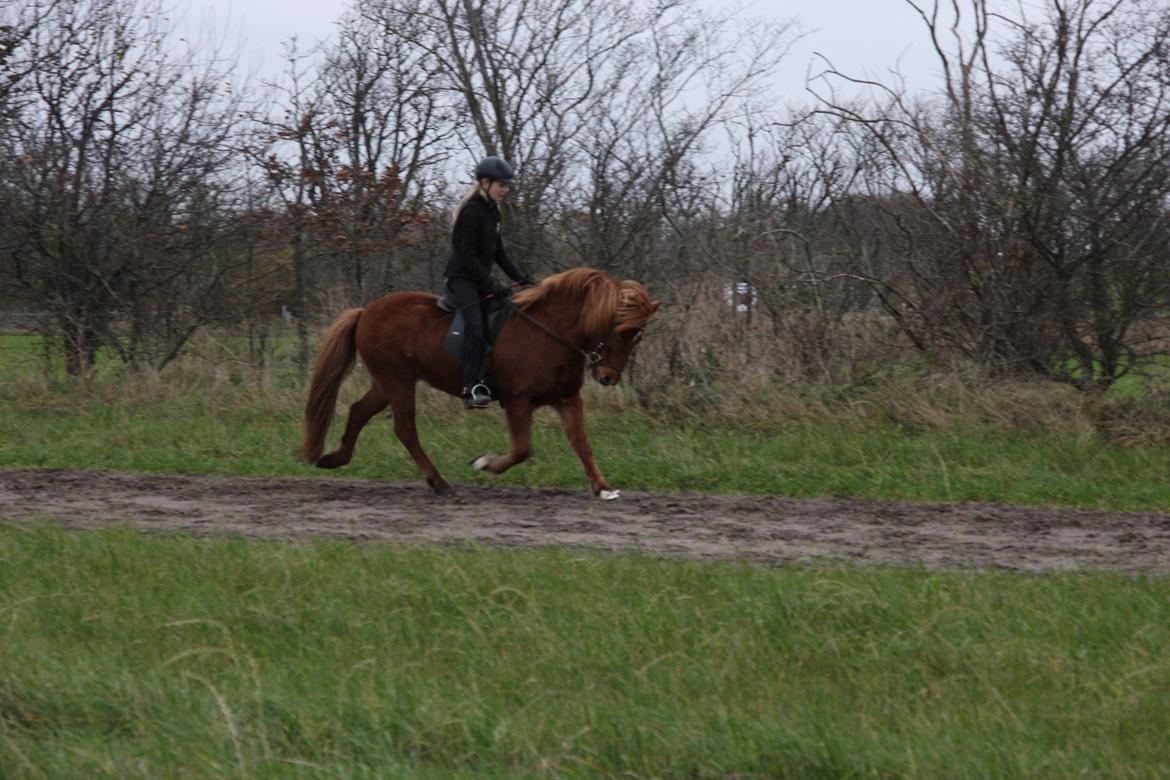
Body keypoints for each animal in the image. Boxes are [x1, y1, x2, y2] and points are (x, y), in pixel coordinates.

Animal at [299, 268, 659, 500]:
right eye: (624, 332)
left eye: (638, 336)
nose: (609, 378)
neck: (549, 332)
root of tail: (365, 312)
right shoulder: (518, 400)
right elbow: (522, 449)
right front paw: (484, 463)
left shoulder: (568, 399)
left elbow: (582, 444)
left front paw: (603, 487)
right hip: (397, 380)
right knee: (405, 428)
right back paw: (439, 482)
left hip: (387, 382)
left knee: (359, 412)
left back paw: (334, 458)